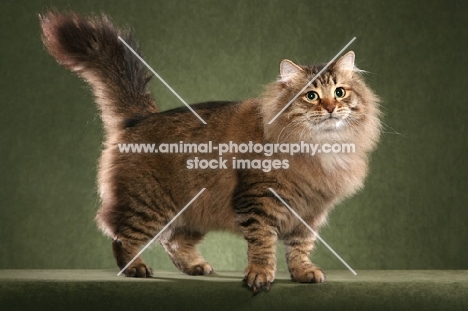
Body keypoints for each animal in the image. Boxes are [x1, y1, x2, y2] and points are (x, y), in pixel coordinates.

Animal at [40, 11, 382, 294]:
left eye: (340, 92)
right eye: (311, 96)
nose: (331, 107)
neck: (319, 145)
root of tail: (142, 117)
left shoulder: (309, 212)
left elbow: (299, 247)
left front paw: (302, 272)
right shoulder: (258, 199)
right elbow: (263, 243)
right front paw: (260, 275)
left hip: (192, 211)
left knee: (172, 240)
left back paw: (195, 266)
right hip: (146, 204)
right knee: (121, 235)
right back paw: (135, 267)